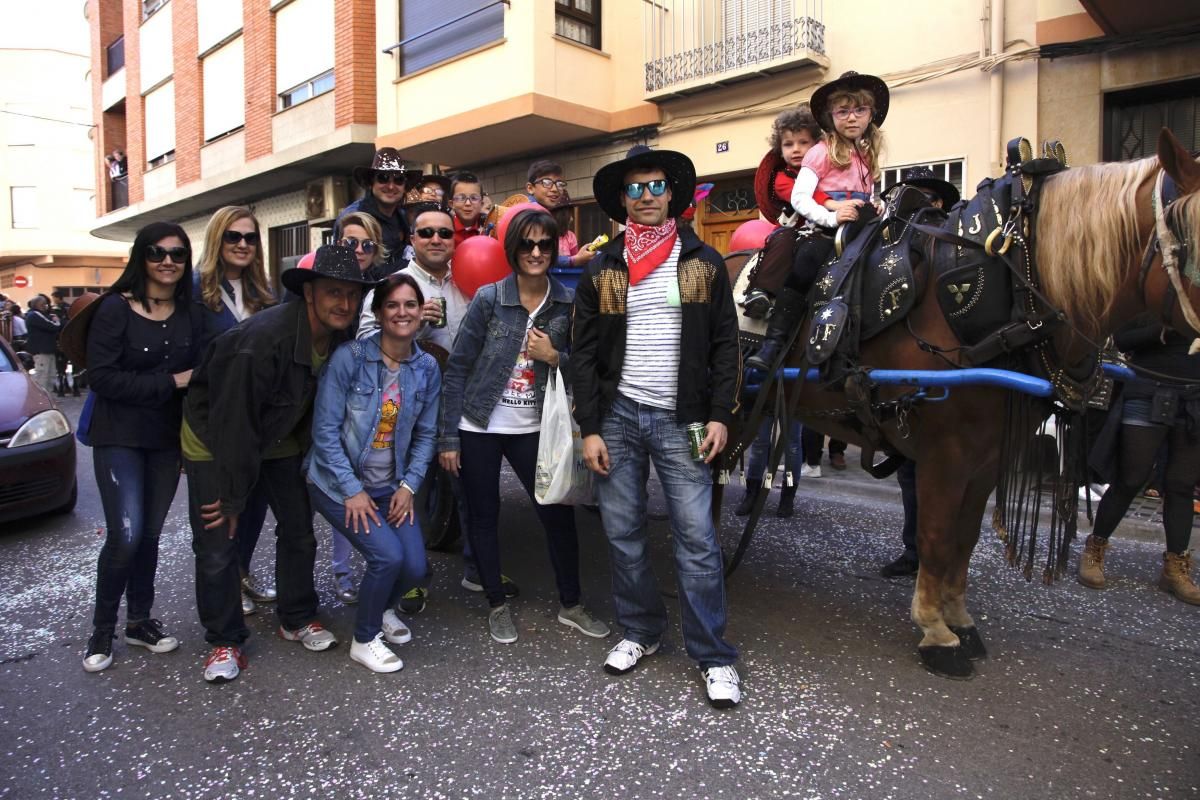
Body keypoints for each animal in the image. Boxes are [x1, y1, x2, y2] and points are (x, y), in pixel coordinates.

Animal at [720, 128, 1200, 681]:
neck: (1007, 287)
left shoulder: (987, 455)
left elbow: (965, 538)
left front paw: (959, 619)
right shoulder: (945, 450)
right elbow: (934, 533)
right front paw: (936, 633)